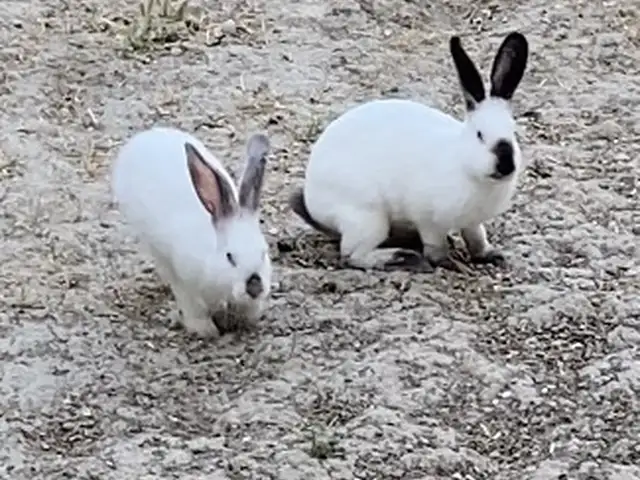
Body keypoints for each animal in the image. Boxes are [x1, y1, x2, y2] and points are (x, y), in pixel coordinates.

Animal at [111, 126, 272, 338]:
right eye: (229, 256)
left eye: (264, 253)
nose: (255, 288)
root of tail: (146, 135)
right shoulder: (185, 282)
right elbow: (193, 306)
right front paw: (205, 330)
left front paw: (247, 320)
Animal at [289, 31, 529, 272]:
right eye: (480, 135)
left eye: (513, 132)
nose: (506, 165)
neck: (465, 166)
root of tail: (312, 200)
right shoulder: (428, 219)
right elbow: (436, 246)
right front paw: (449, 263)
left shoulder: (472, 221)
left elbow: (477, 237)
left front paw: (491, 255)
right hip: (368, 218)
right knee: (351, 255)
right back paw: (403, 257)